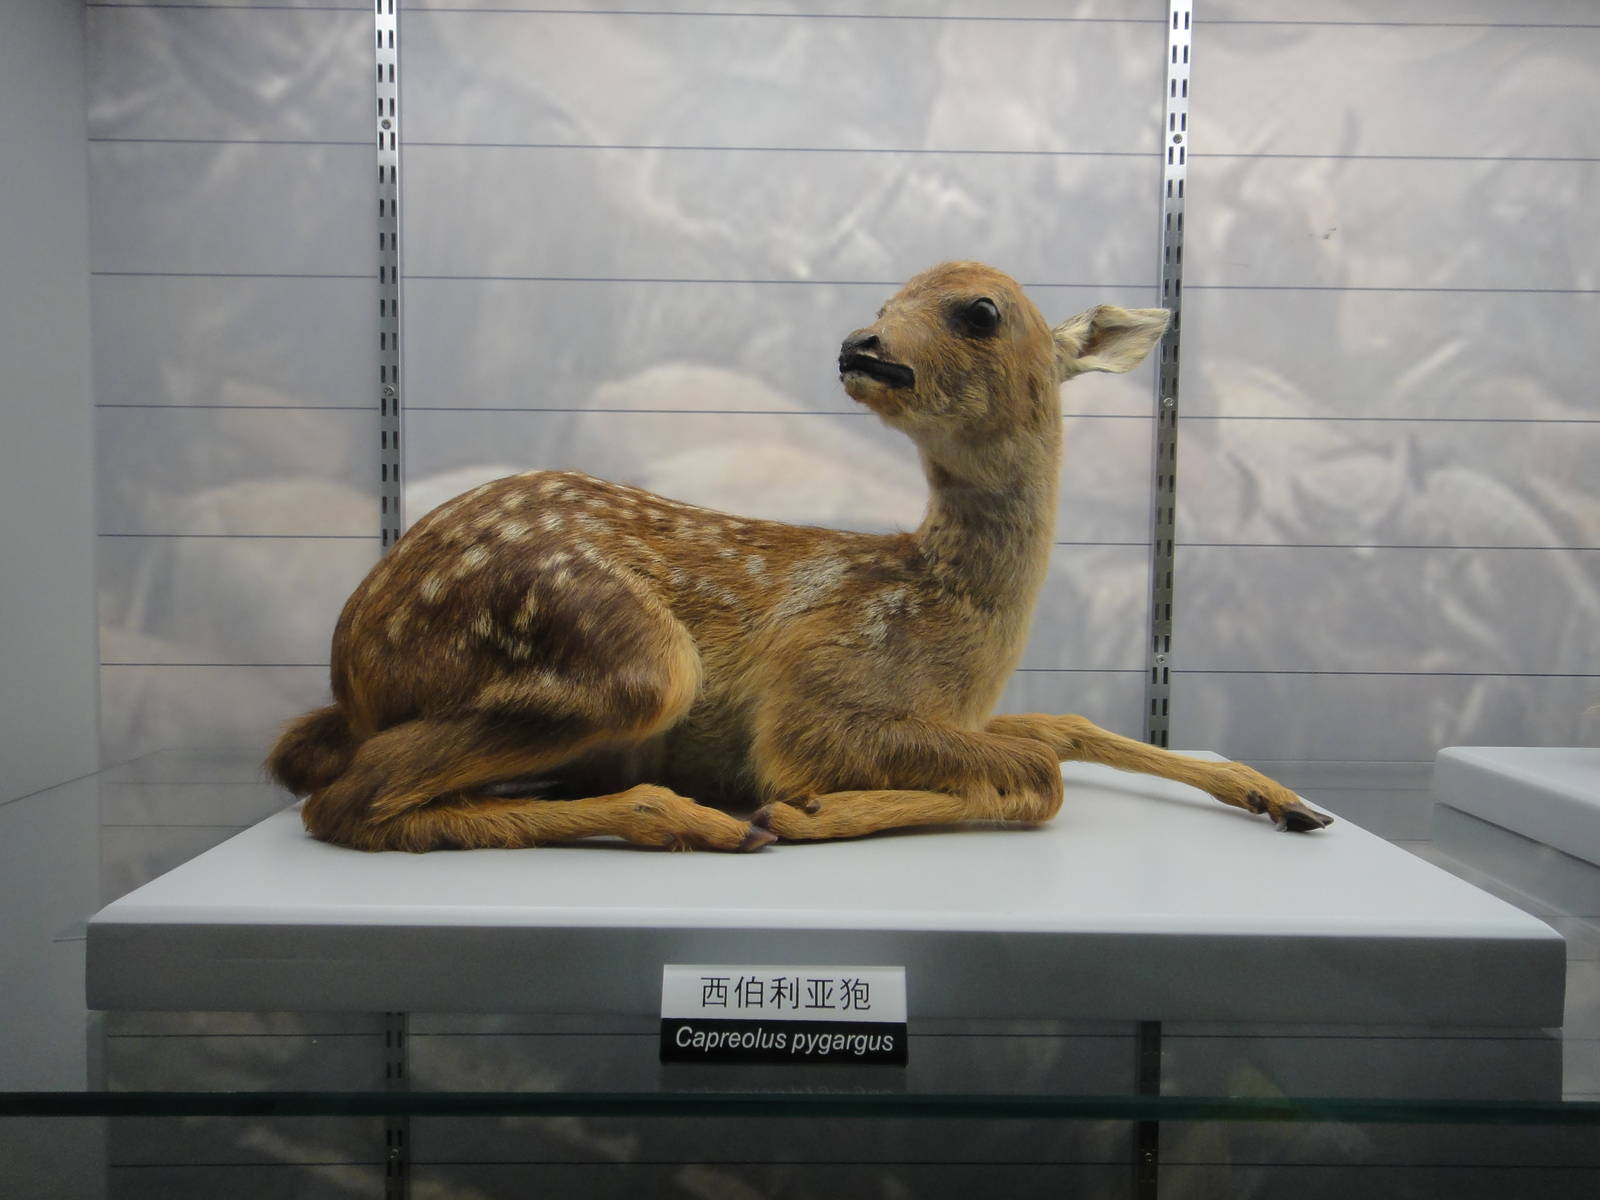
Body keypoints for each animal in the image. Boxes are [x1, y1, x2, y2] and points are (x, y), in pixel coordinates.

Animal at [266, 261, 1333, 852]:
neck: (956, 619)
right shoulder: (820, 701)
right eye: (889, 296)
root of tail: (354, 656)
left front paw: (1282, 800)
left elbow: (1061, 727)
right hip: (616, 649)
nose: (861, 342)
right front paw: (811, 810)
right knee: (342, 799)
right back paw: (700, 822)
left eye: (979, 311)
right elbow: (1037, 771)